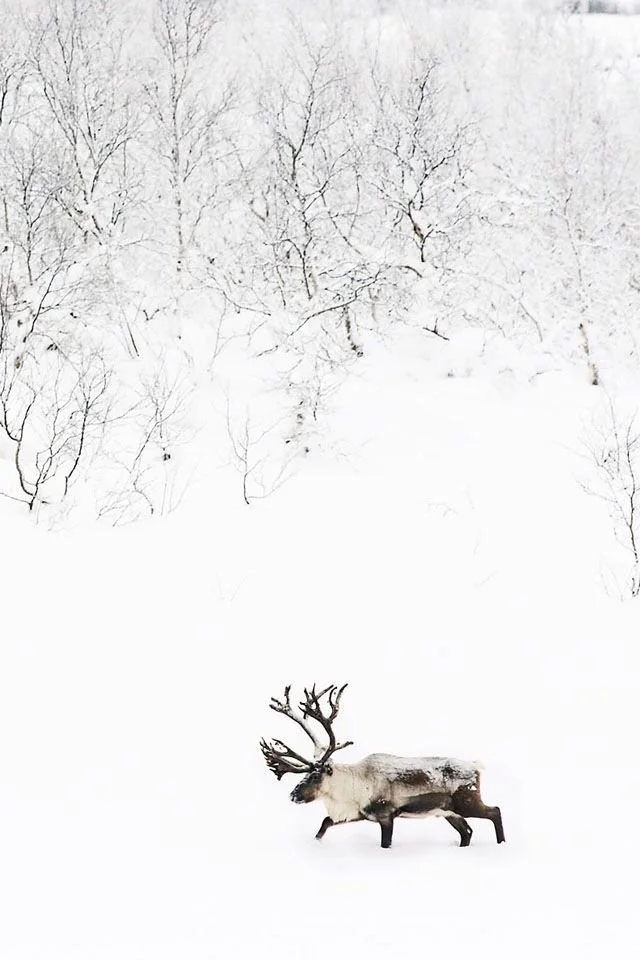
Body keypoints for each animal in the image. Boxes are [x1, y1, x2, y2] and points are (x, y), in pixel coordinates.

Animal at [260, 684, 505, 849]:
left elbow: (385, 843)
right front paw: (316, 843)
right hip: (448, 811)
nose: (293, 795)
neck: (353, 786)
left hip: (467, 802)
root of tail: (476, 766)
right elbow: (325, 823)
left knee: (495, 811)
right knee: (467, 832)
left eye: (314, 776)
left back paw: (501, 844)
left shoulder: (387, 814)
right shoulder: (357, 813)